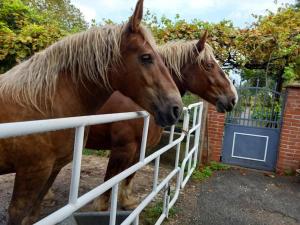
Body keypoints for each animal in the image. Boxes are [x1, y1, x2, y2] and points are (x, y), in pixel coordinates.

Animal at [85, 32, 239, 211]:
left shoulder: (139, 150)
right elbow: (109, 181)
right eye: (208, 65)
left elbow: (130, 175)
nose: (233, 98)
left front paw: (127, 201)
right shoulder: (122, 149)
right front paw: (101, 206)